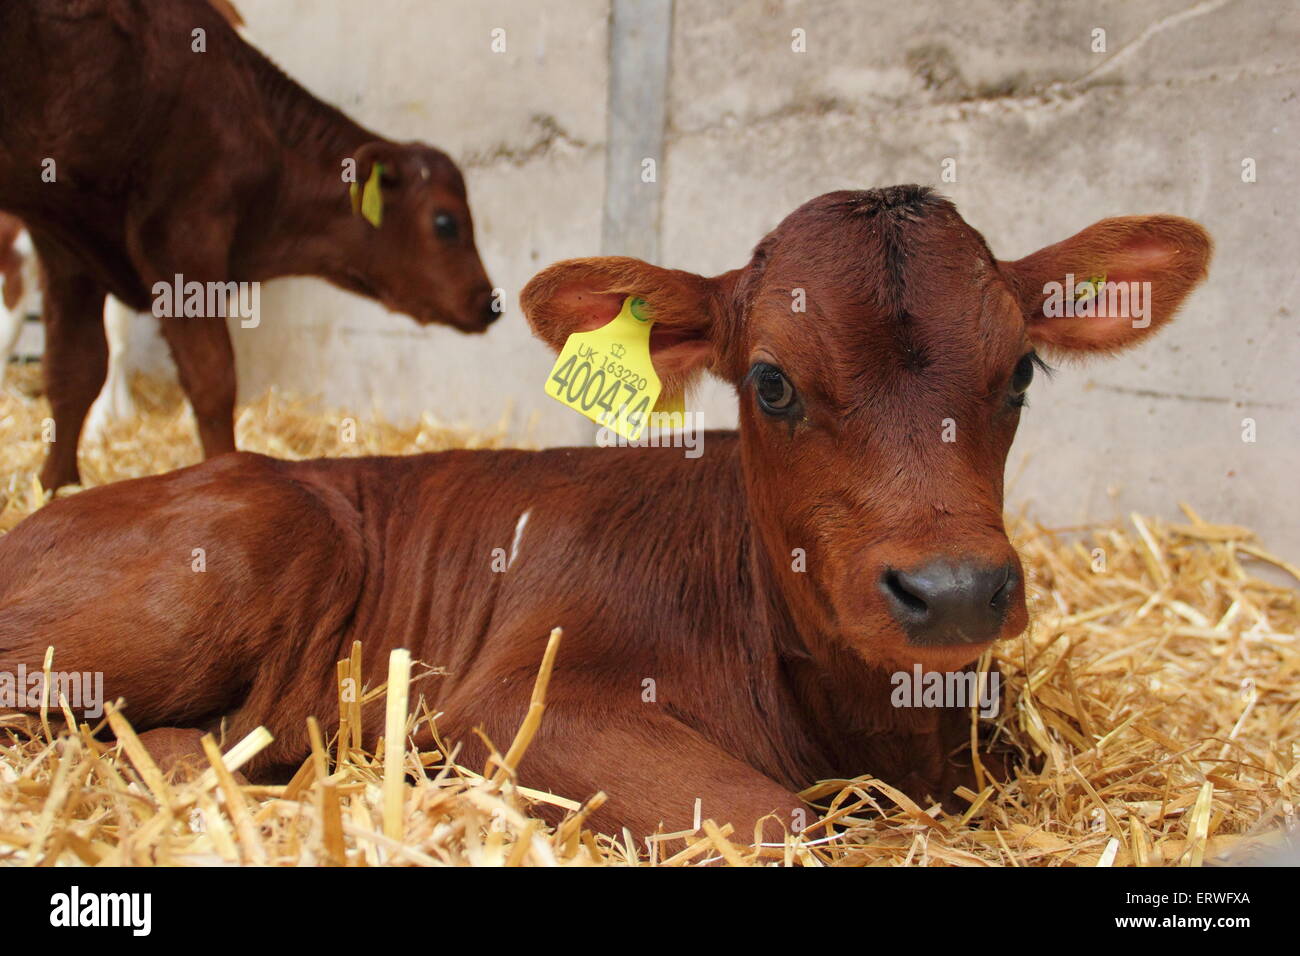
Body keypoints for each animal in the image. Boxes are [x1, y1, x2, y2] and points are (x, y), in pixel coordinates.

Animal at [0, 0, 496, 491]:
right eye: (446, 222)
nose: (490, 301)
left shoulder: (68, 243)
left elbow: (74, 369)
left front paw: (55, 485)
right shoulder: (182, 236)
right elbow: (212, 381)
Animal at [0, 188, 1212, 841]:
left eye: (1020, 372)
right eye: (770, 381)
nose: (954, 590)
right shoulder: (513, 701)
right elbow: (776, 818)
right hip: (252, 543)